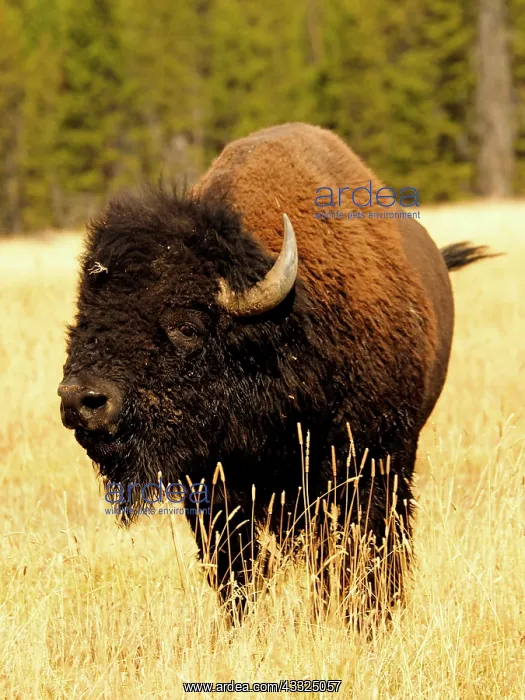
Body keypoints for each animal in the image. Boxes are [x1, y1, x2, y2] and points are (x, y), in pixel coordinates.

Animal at [58, 123, 495, 618]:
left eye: (186, 326)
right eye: (81, 320)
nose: (82, 400)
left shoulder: (373, 461)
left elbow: (366, 551)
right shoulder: (216, 491)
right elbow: (236, 572)